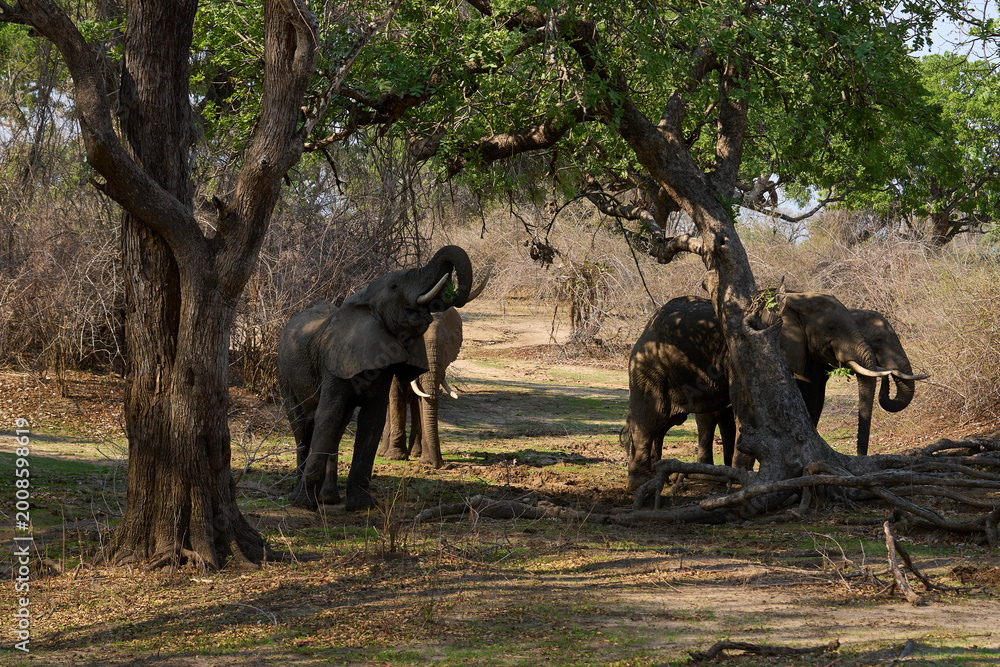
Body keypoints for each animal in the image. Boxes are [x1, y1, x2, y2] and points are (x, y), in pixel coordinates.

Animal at [378, 306, 465, 468]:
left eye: (446, 345)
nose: (438, 463)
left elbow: (422, 399)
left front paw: (424, 459)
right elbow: (396, 393)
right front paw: (396, 457)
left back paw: (416, 452)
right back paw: (383, 453)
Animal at [622, 293, 927, 490]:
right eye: (832, 327)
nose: (887, 373)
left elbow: (811, 401)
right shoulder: (743, 351)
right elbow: (747, 400)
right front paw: (744, 476)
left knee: (667, 422)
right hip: (649, 366)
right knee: (650, 418)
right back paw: (642, 482)